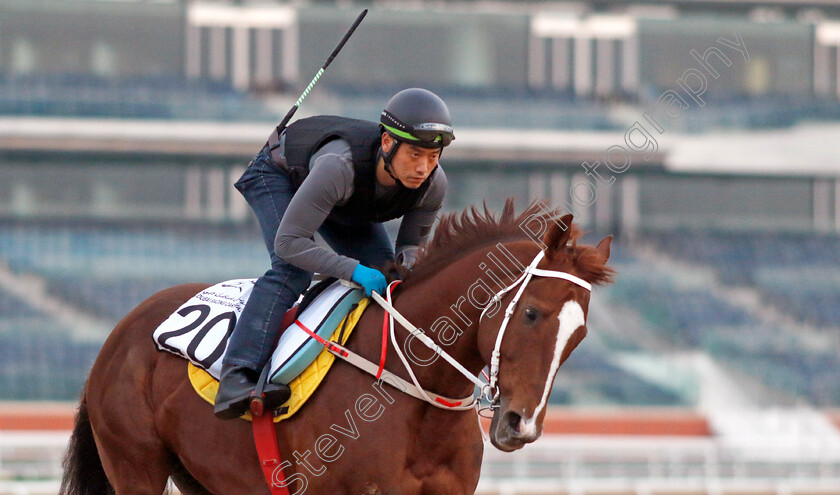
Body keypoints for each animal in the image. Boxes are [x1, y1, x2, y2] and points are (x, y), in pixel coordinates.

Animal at [57, 201, 612, 495]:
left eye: (580, 335)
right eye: (532, 313)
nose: (521, 424)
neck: (417, 402)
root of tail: (122, 330)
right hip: (135, 466)